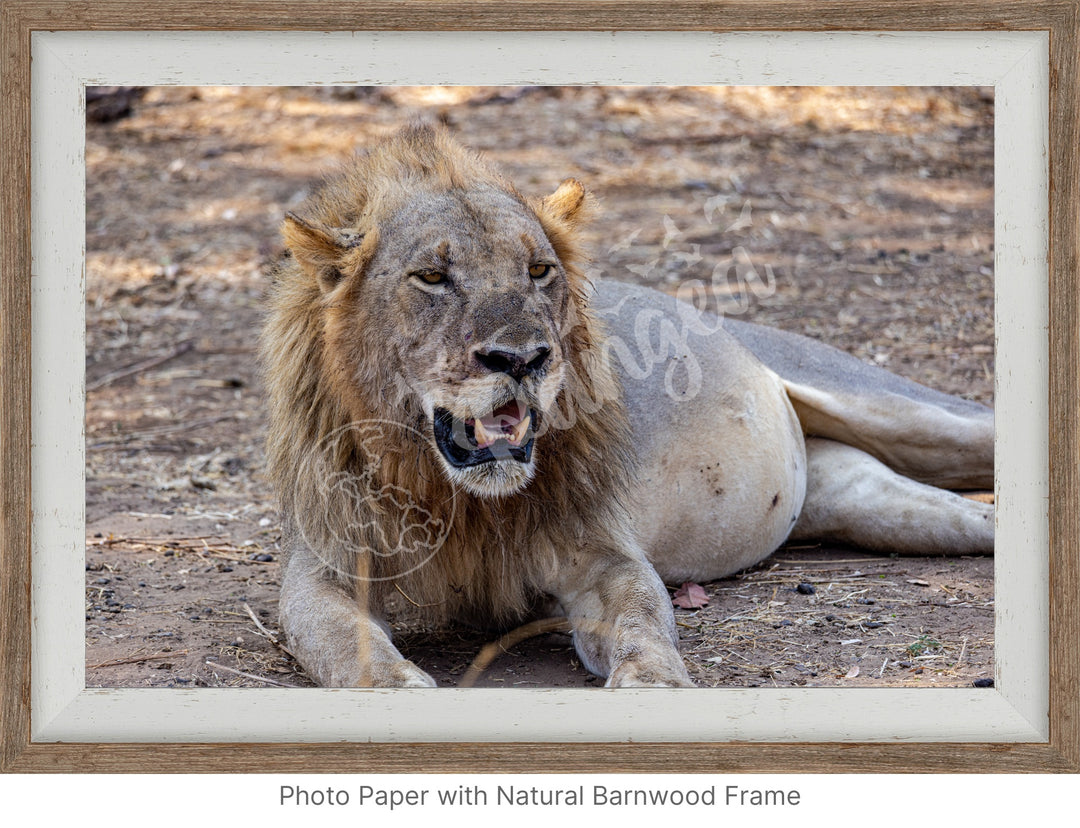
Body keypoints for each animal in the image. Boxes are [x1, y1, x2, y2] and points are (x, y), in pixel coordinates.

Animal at [259, 126, 989, 690]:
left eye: (538, 271)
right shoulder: (325, 567)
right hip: (872, 503)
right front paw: (397, 686)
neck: (460, 501)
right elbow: (345, 643)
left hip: (904, 412)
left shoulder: (604, 554)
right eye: (432, 278)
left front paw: (655, 683)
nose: (522, 358)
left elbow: (642, 621)